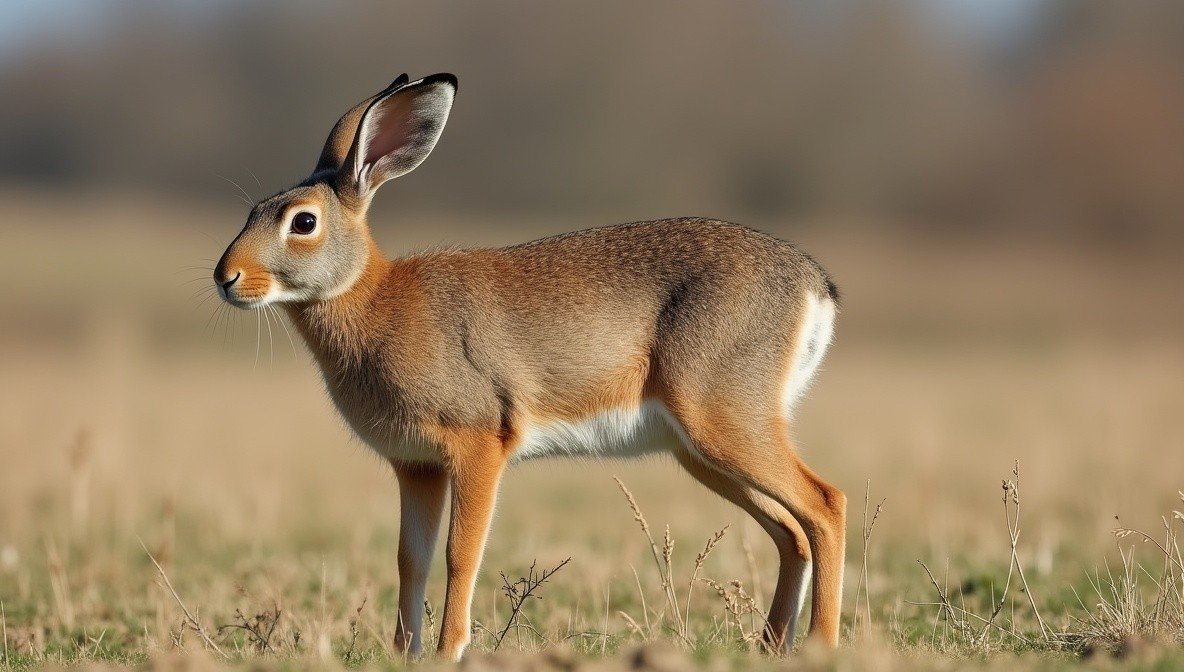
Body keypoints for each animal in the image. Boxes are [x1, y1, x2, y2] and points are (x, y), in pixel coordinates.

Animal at [214, 73, 843, 660]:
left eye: (302, 222)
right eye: (253, 211)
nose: (227, 277)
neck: (372, 299)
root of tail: (814, 285)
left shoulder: (476, 448)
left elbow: (460, 554)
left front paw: (448, 652)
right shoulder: (417, 468)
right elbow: (410, 561)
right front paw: (404, 654)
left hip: (723, 425)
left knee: (825, 506)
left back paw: (822, 644)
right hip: (700, 453)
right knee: (793, 532)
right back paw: (772, 646)